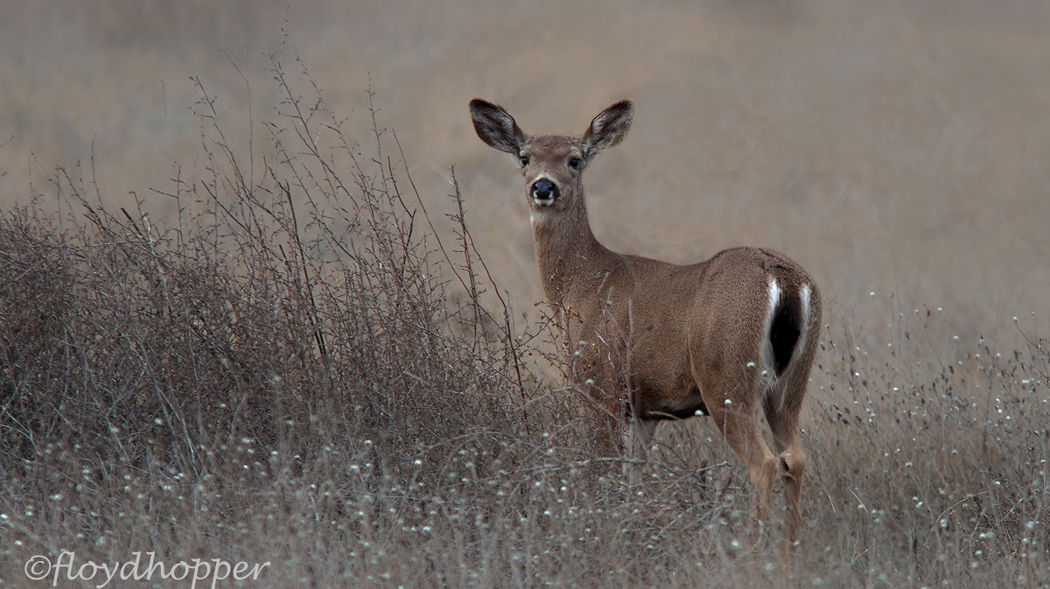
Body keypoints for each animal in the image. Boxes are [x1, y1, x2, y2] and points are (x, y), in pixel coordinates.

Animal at [469, 98, 822, 544]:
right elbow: (636, 477)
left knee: (764, 464)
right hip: (791, 383)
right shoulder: (646, 408)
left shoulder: (599, 381)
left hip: (726, 376)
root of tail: (787, 280)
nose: (543, 187)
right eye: (524, 157)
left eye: (575, 159)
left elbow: (604, 468)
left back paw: (752, 552)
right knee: (795, 458)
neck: (582, 284)